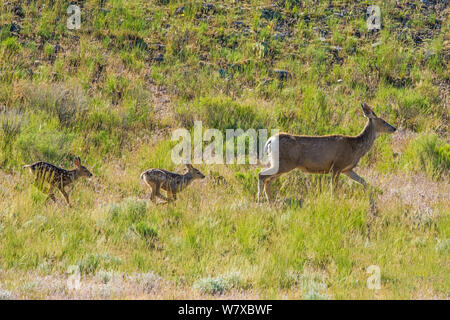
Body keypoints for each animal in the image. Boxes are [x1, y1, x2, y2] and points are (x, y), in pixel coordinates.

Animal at [258, 102, 396, 202]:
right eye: (383, 121)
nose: (394, 128)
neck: (356, 147)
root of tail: (270, 140)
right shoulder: (337, 165)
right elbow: (333, 188)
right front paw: (332, 201)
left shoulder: (347, 169)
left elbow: (363, 181)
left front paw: (371, 200)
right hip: (284, 163)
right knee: (262, 175)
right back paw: (260, 200)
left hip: (279, 163)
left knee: (267, 180)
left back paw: (270, 201)